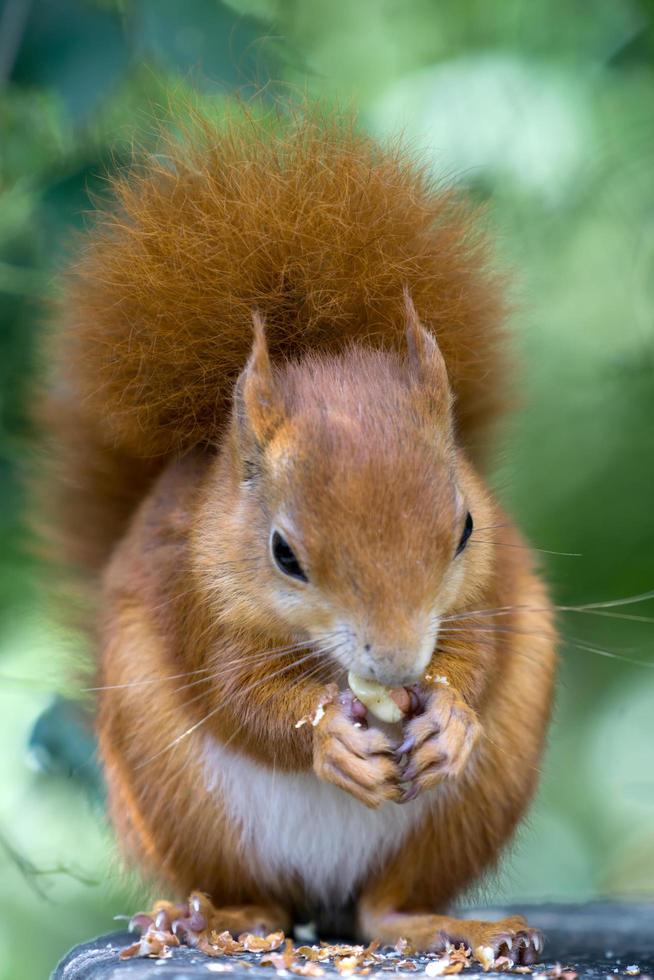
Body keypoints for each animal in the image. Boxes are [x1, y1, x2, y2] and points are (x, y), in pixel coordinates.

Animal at [43, 111, 560, 960]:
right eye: (285, 555)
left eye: (465, 528)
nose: (399, 664)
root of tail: (326, 898)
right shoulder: (196, 603)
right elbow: (237, 696)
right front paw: (325, 739)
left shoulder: (487, 588)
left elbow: (481, 650)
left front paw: (450, 714)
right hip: (177, 800)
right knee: (267, 903)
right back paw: (208, 917)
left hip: (472, 803)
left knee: (383, 909)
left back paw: (445, 923)